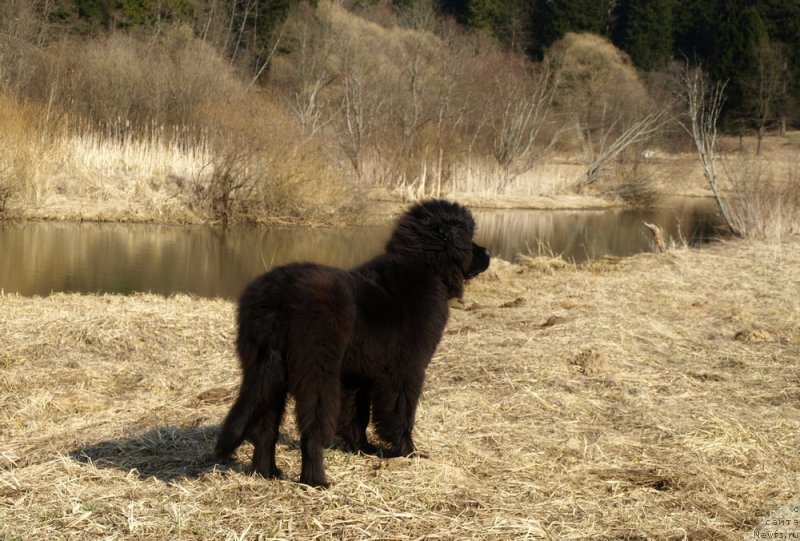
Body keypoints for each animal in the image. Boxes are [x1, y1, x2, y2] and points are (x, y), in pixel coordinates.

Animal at [214, 198, 488, 486]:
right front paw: (409, 452)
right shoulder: (406, 370)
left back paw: (266, 472)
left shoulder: (360, 375)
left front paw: (363, 448)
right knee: (312, 430)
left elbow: (357, 414)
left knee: (266, 427)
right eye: (470, 238)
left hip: (266, 371)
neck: (425, 266)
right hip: (316, 373)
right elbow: (400, 414)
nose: (489, 252)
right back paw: (316, 480)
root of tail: (278, 298)